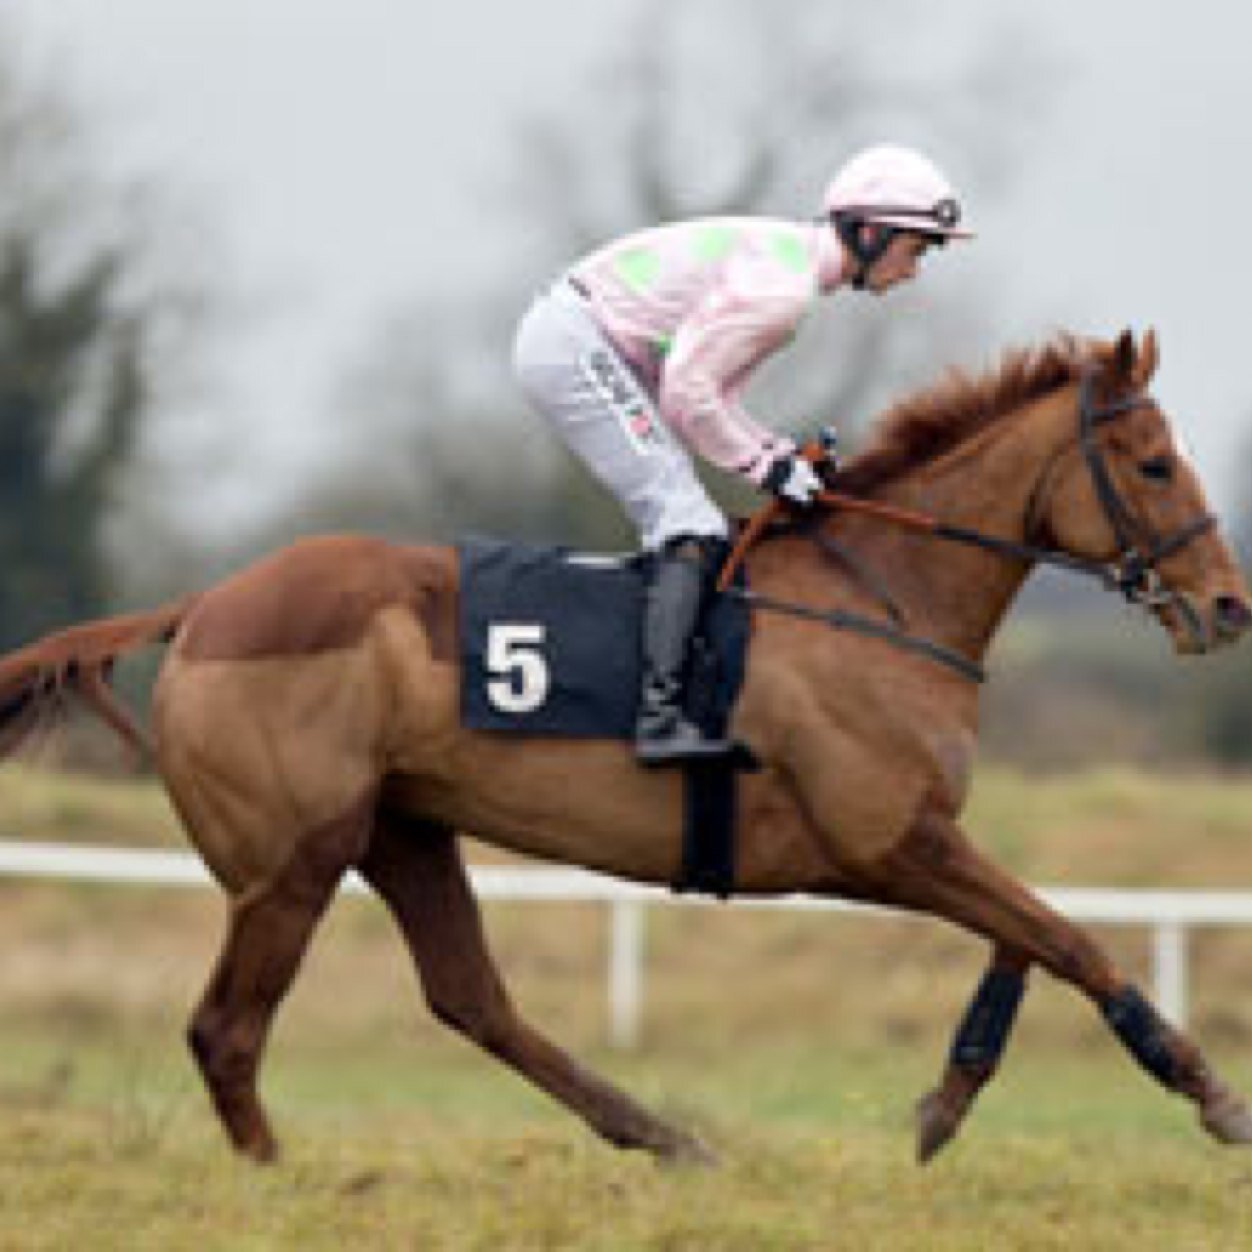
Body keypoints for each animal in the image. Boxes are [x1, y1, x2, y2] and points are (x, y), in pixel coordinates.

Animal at [2, 328, 1250, 1167]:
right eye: (1152, 465)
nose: (1228, 606)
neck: (881, 597)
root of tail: (205, 604)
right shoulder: (887, 841)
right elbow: (1070, 938)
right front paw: (1208, 1092)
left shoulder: (916, 840)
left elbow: (1026, 939)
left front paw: (945, 1103)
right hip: (291, 860)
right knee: (228, 1029)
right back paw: (276, 1177)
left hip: (401, 829)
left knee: (472, 1001)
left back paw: (664, 1135)